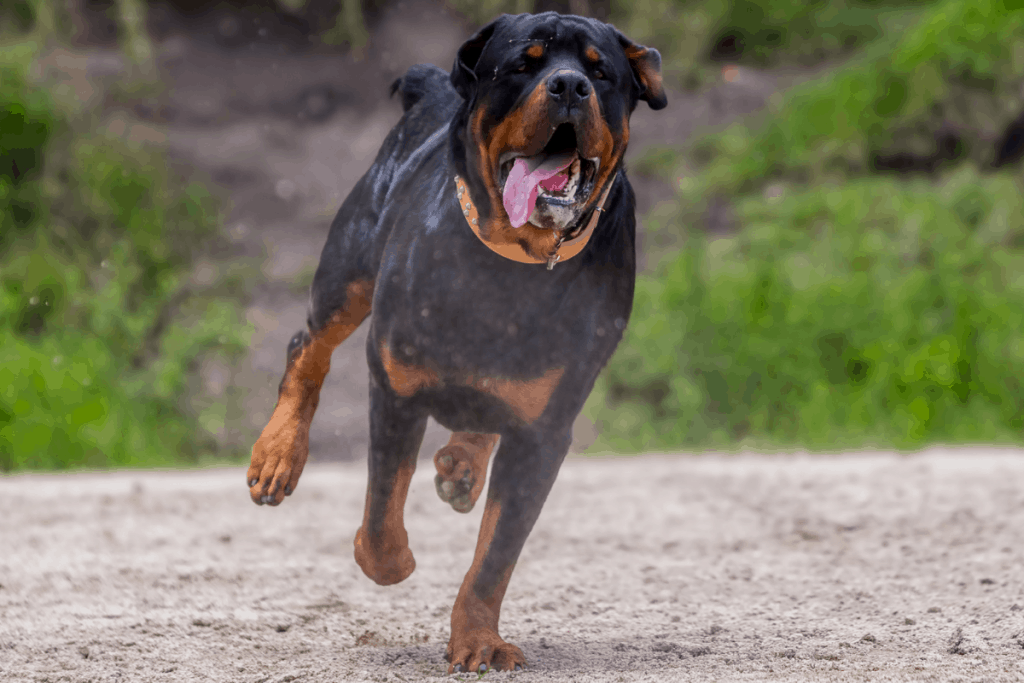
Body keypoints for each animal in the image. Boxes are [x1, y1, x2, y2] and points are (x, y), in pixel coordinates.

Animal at [244, 9, 667, 671]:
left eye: (602, 72)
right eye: (524, 62)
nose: (570, 86)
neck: (513, 264)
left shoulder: (544, 432)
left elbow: (496, 555)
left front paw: (477, 640)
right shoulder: (395, 385)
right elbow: (383, 507)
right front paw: (389, 560)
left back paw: (462, 464)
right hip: (349, 269)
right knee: (307, 344)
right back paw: (278, 454)